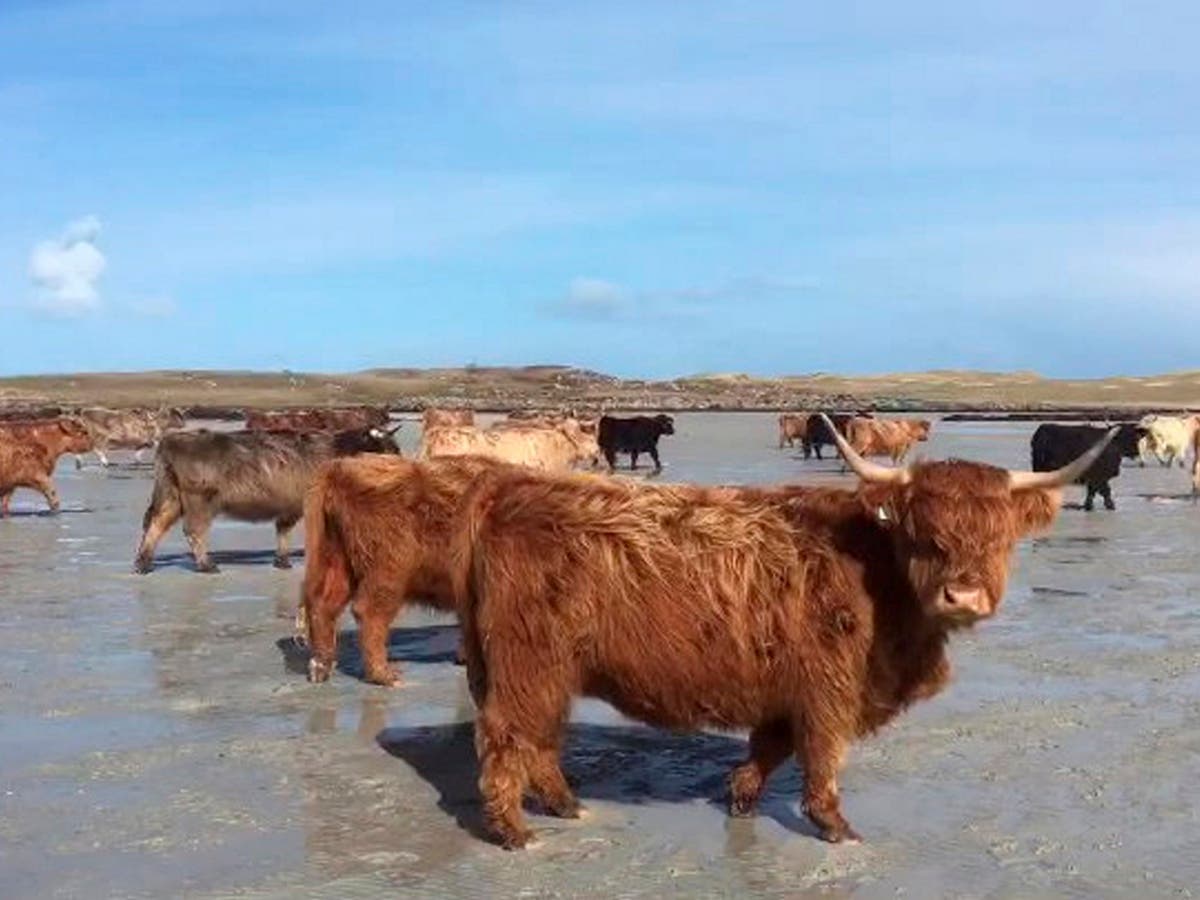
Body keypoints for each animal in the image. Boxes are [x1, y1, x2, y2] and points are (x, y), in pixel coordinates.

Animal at [134, 427, 400, 573]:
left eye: (395, 448)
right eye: (385, 450)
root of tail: (171, 441)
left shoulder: (290, 505)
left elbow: (283, 530)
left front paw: (282, 560)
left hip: (171, 496)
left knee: (155, 523)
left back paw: (143, 563)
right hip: (199, 499)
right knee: (194, 530)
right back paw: (206, 564)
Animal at [451, 417, 1113, 854]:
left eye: (1000, 537)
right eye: (925, 534)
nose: (964, 596)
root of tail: (507, 492)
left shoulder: (787, 689)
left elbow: (769, 748)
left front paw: (739, 797)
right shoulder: (829, 688)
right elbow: (820, 756)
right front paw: (836, 827)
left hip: (546, 669)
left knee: (540, 737)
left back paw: (566, 805)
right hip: (528, 660)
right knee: (508, 737)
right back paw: (514, 831)